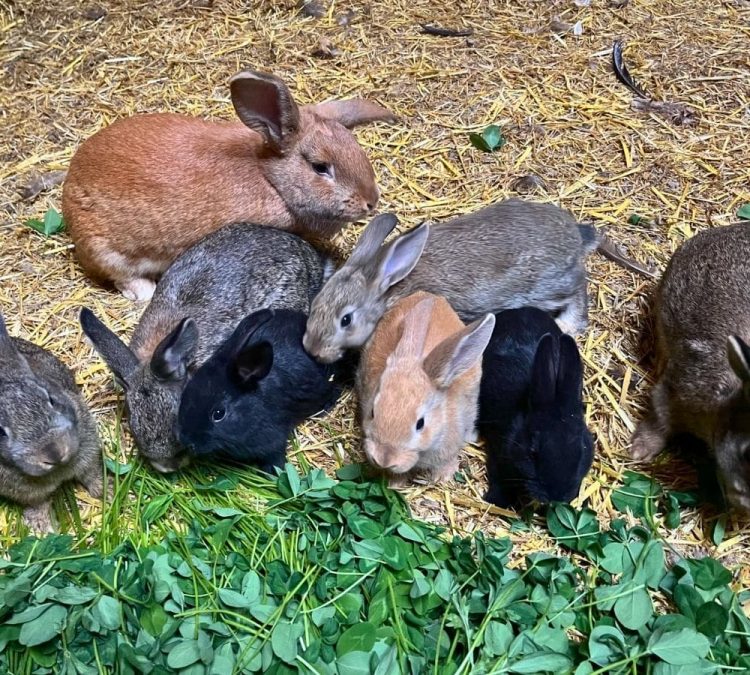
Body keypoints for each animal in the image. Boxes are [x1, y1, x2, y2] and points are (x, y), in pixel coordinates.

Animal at [0, 314, 102, 531]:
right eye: (0, 432)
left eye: (51, 399)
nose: (55, 453)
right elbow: (38, 502)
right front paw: (40, 525)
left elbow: (91, 473)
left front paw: (106, 490)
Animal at [303, 199, 651, 364]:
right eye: (315, 305)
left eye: (346, 320)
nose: (313, 349)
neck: (388, 291)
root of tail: (576, 237)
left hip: (548, 286)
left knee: (579, 287)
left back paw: (568, 324)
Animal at [357, 291, 495, 484]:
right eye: (372, 412)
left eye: (420, 424)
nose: (384, 460)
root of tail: (431, 295)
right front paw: (395, 483)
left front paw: (443, 477)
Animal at [477, 307, 594, 507]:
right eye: (533, 453)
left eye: (581, 451)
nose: (557, 497)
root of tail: (518, 310)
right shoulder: (498, 452)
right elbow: (500, 478)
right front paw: (496, 501)